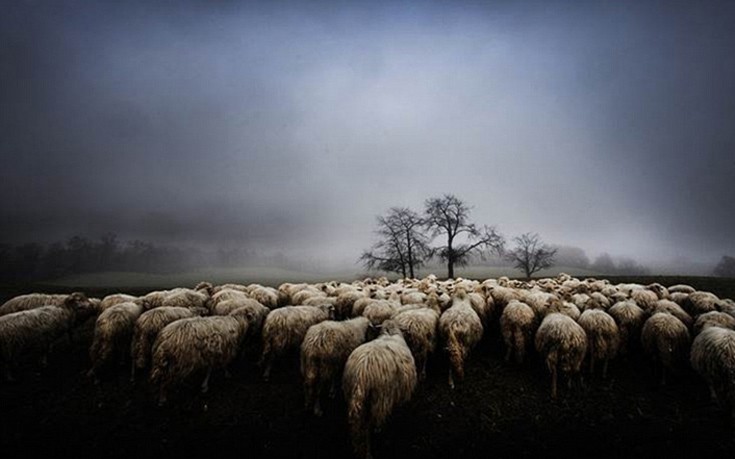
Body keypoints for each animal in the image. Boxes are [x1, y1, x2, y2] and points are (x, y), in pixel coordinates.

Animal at [342, 320, 416, 459]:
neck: (390, 334)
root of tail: (361, 374)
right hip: (379, 399)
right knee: (368, 427)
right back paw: (370, 448)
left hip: (354, 397)